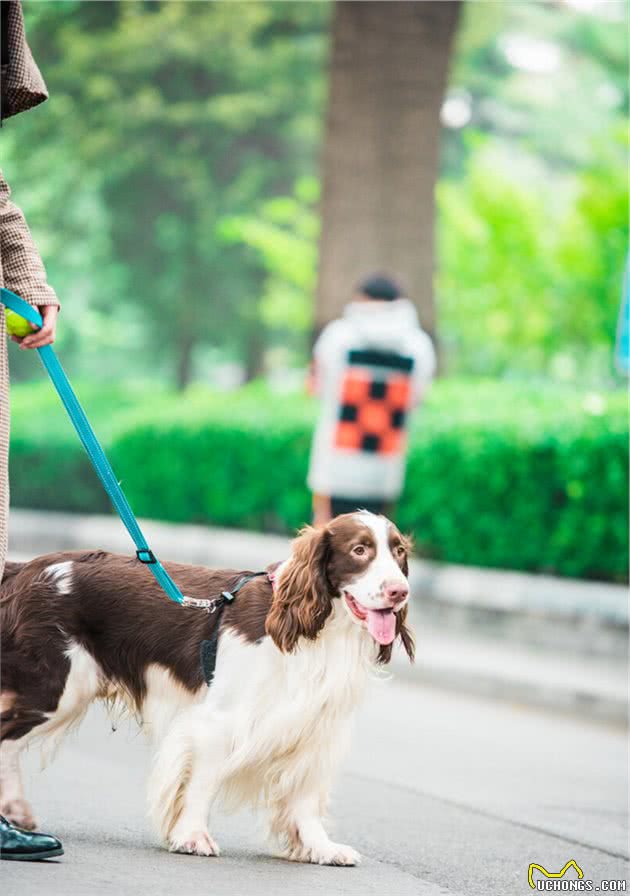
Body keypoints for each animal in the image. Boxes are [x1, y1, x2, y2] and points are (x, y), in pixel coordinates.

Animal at [1, 516, 414, 864]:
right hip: (56, 688)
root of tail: (26, 568)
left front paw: (320, 847)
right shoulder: (221, 719)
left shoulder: (316, 726)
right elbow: (204, 782)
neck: (317, 632)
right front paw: (192, 836)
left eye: (398, 552)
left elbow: (305, 796)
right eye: (359, 550)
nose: (400, 591)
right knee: (7, 739)